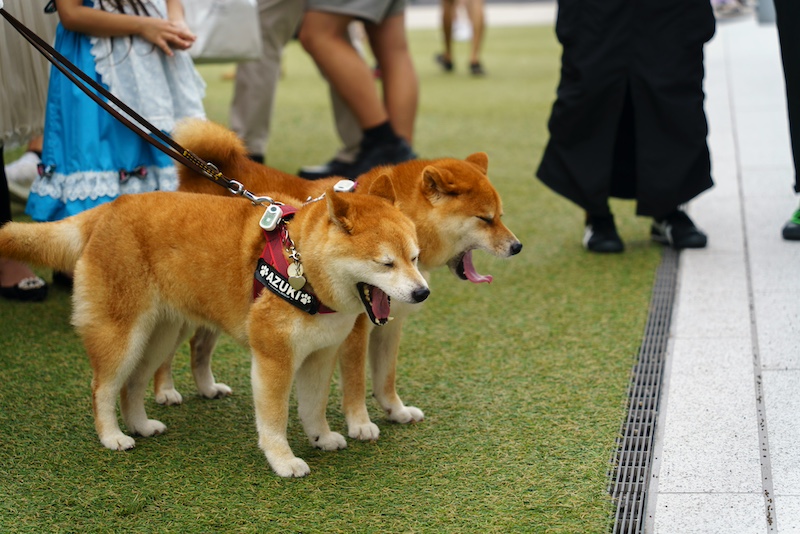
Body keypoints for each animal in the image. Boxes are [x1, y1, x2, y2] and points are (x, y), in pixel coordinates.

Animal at [0, 182, 428, 480]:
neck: (303, 265)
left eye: (415, 257)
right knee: (102, 389)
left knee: (132, 385)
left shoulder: (319, 356)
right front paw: (283, 459)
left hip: (159, 338)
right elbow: (275, 419)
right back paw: (112, 436)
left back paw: (140, 425)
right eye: (386, 263)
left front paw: (321, 438)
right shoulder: (274, 360)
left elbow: (313, 407)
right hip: (122, 336)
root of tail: (106, 208)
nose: (422, 293)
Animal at [156, 121, 520, 444]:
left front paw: (396, 410)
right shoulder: (356, 332)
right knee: (165, 352)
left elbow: (385, 377)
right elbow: (356, 380)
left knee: (199, 345)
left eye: (500, 216)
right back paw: (165, 390)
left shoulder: (389, 326)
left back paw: (207, 387)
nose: (517, 246)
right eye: (485, 219)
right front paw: (360, 424)